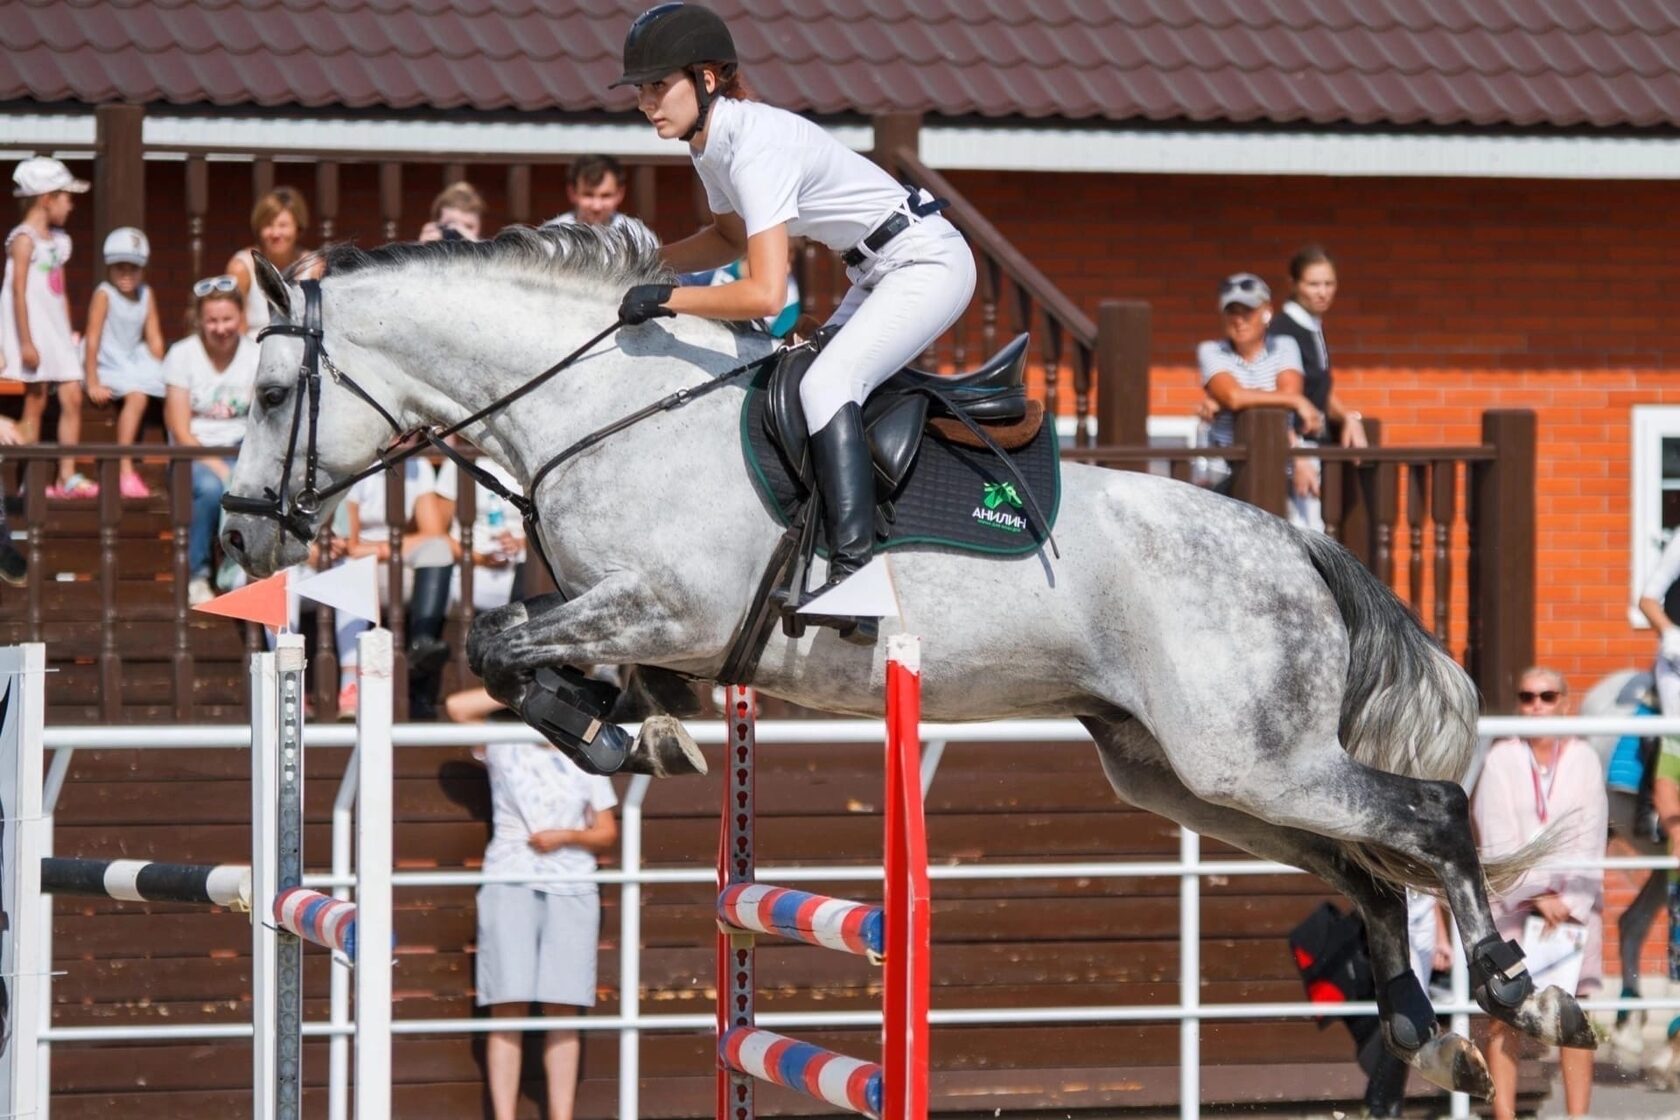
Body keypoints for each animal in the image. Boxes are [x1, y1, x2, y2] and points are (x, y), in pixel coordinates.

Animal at [216, 223, 1592, 1101]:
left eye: (275, 392)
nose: (235, 541)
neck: (600, 411)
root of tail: (1297, 542)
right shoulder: (637, 617)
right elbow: (522, 651)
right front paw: (636, 729)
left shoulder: (666, 605)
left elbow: (504, 644)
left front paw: (618, 730)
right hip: (1189, 774)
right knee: (1365, 866)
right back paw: (1425, 1031)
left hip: (1248, 757)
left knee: (1434, 816)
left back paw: (1518, 993)